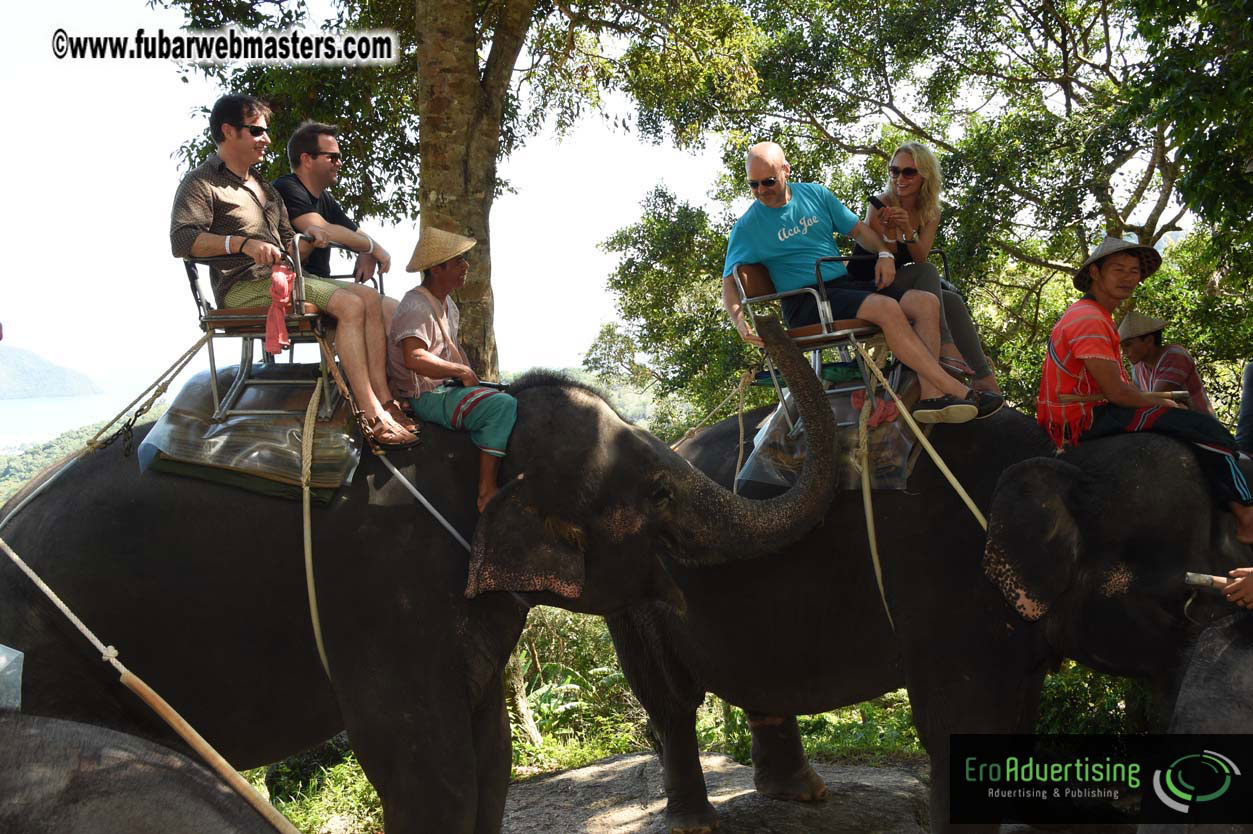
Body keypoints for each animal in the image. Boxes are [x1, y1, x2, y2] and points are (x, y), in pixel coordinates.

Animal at [604, 398, 1251, 833]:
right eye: (1182, 604)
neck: (1062, 456)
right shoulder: (948, 592)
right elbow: (961, 726)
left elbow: (1015, 721)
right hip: (632, 594)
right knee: (670, 703)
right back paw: (695, 821)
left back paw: (802, 795)